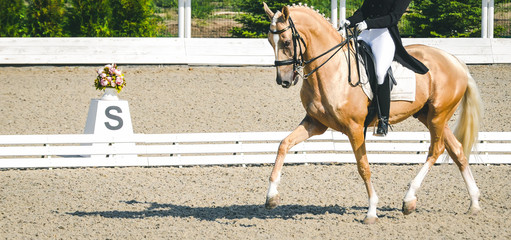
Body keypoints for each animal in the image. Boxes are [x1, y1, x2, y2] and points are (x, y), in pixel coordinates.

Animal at [264, 3, 484, 224]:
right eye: (269, 41)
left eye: (286, 42)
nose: (283, 81)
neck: (334, 70)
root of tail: (456, 62)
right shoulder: (315, 123)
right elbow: (283, 144)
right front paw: (271, 197)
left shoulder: (354, 128)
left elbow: (363, 167)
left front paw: (371, 212)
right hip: (429, 116)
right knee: (457, 150)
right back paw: (474, 204)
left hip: (438, 115)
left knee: (435, 150)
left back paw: (409, 199)